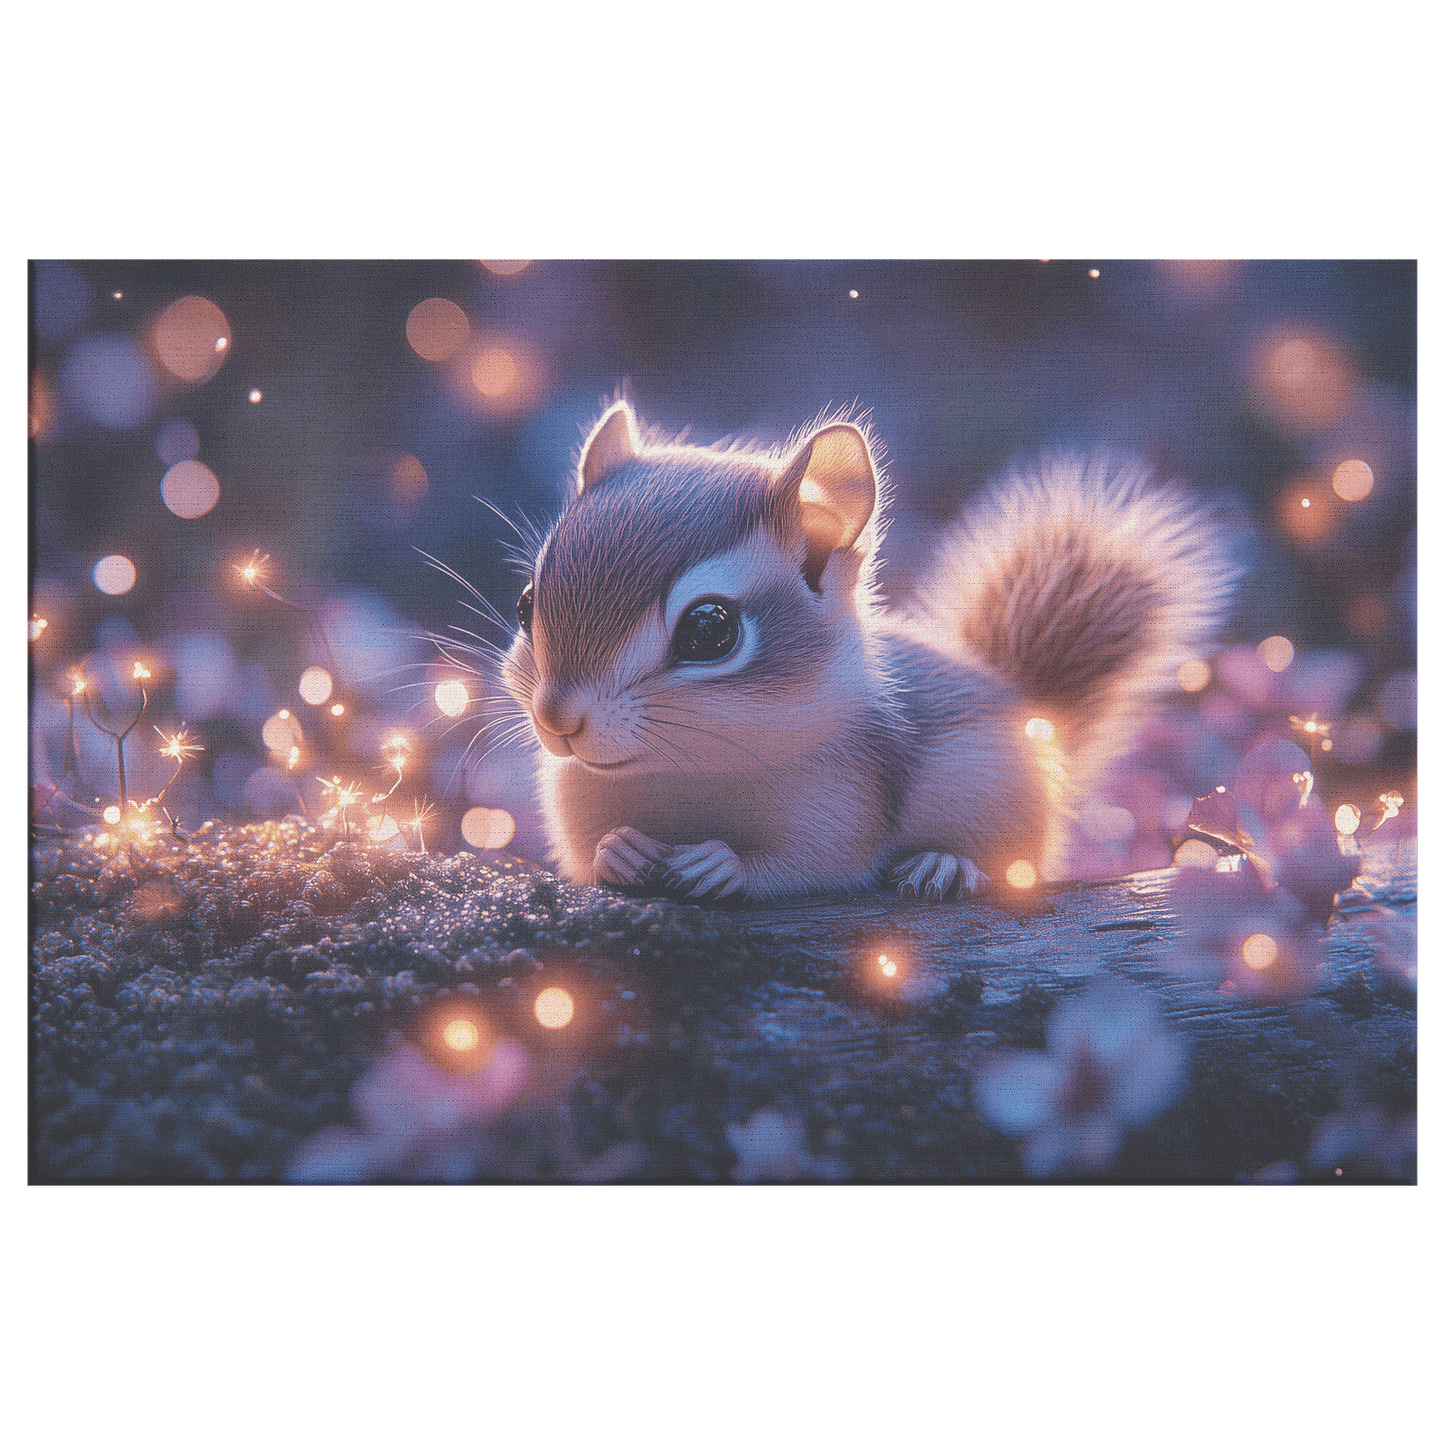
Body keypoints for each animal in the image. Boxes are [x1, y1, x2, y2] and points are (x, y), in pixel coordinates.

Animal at [497, 400, 1237, 902]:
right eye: (527, 603)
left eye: (709, 630)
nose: (557, 719)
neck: (682, 771)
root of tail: (1036, 716)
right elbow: (588, 854)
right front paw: (619, 850)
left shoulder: (844, 804)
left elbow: (815, 865)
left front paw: (722, 863)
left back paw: (946, 865)